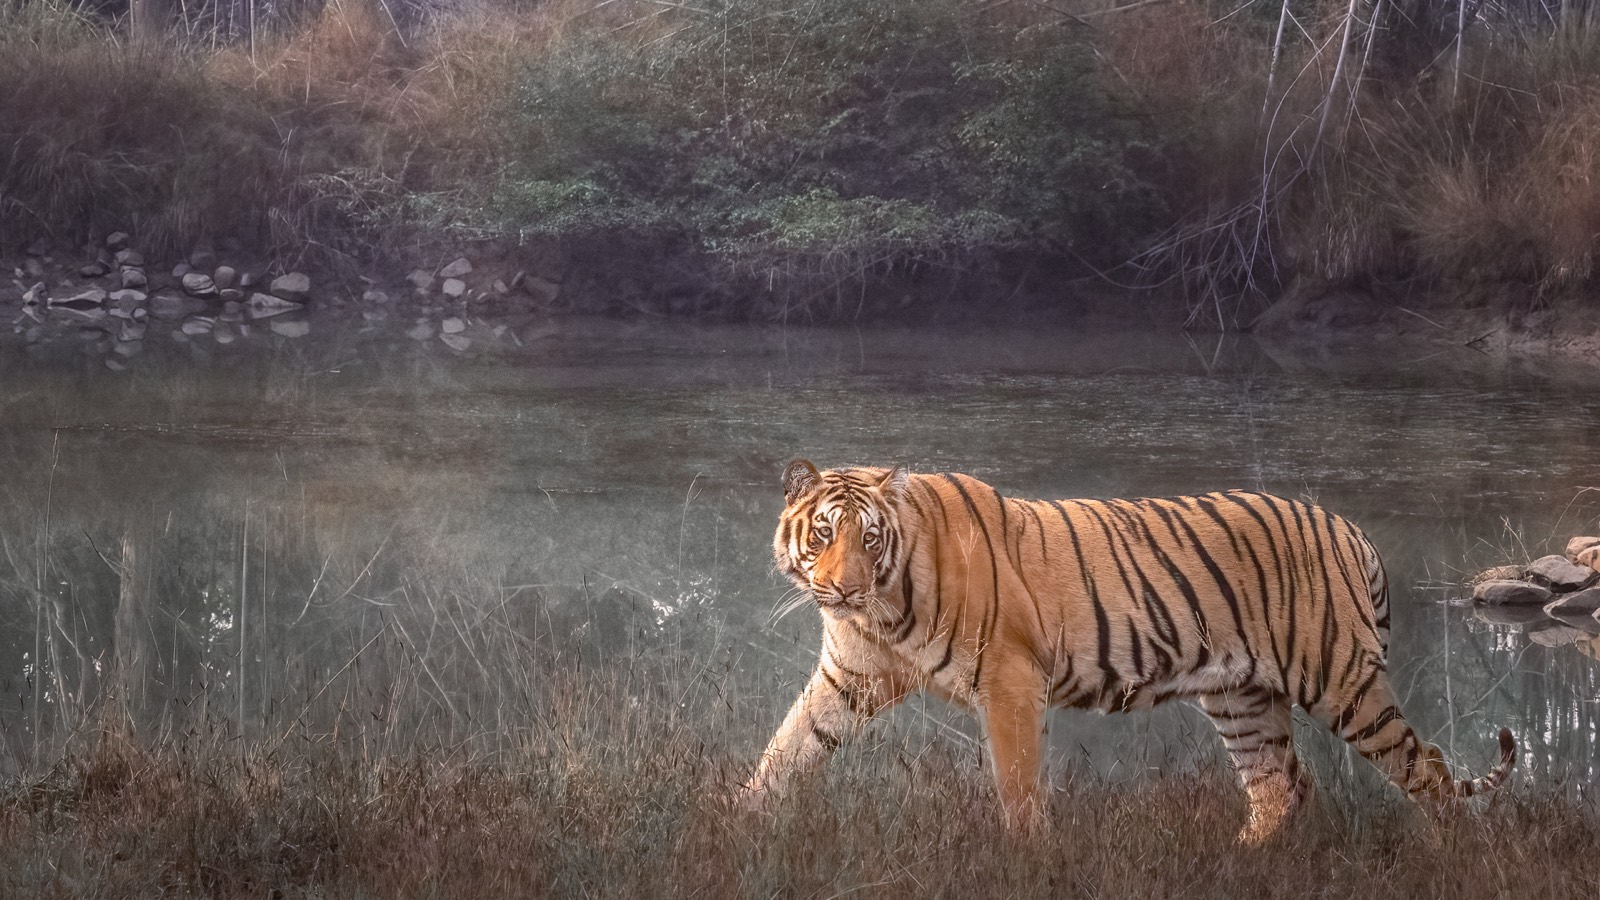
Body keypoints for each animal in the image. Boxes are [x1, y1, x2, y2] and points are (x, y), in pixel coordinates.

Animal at [739, 460, 1516, 843]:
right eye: (824, 534)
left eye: (869, 538)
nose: (841, 588)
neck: (883, 611)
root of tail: (1349, 527)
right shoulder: (848, 678)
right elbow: (786, 748)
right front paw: (737, 820)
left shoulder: (1010, 681)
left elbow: (1017, 784)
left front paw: (1025, 855)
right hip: (1241, 700)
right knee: (1281, 786)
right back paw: (1240, 859)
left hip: (1342, 682)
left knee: (1427, 766)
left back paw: (1449, 856)